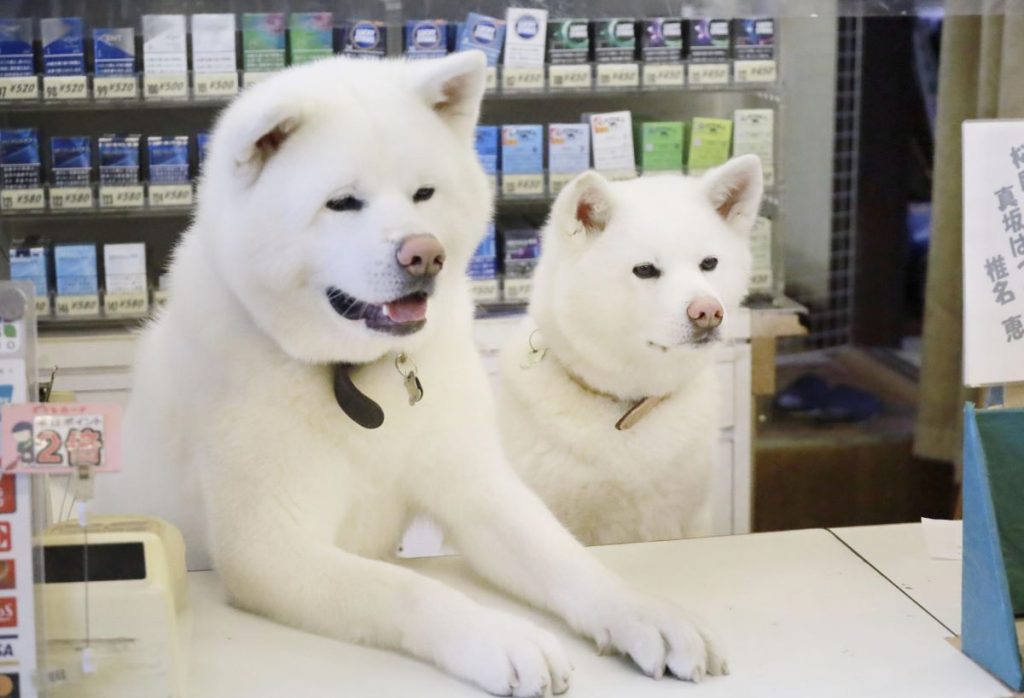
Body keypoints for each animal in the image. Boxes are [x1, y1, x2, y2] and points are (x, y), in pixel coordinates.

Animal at [119, 51, 729, 691]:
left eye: (423, 194)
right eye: (342, 202)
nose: (425, 254)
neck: (355, 376)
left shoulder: (478, 486)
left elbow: (568, 560)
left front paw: (647, 613)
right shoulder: (268, 548)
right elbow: (406, 587)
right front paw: (500, 638)